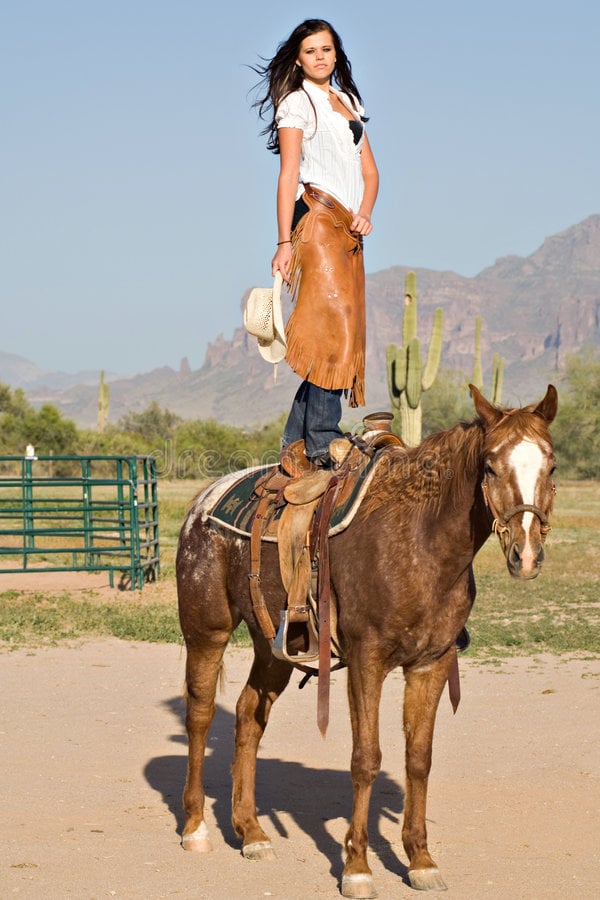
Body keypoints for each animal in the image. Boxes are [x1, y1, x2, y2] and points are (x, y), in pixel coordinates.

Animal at [175, 384, 556, 896]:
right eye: (491, 466)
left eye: (551, 465)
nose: (526, 554)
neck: (420, 540)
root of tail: (203, 503)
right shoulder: (366, 660)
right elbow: (366, 758)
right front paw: (356, 867)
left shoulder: (431, 663)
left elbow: (418, 759)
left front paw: (421, 860)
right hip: (206, 629)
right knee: (199, 715)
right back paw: (196, 827)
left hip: (273, 645)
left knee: (248, 716)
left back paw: (251, 832)